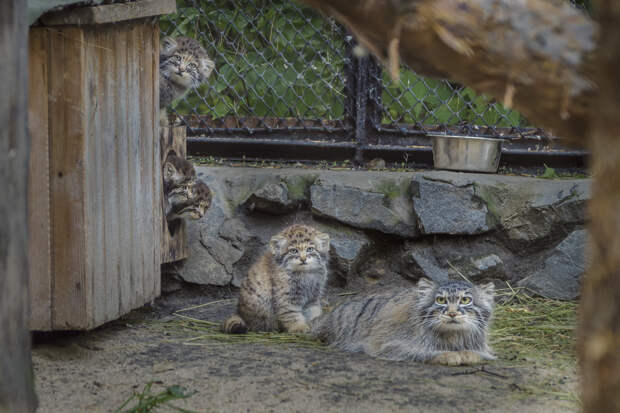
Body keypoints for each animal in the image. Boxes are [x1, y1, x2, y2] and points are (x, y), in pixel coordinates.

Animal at [312, 276, 496, 364]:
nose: (452, 314)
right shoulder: (389, 346)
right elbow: (420, 352)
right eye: (440, 300)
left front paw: (468, 354)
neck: (452, 337)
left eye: (465, 300)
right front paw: (447, 355)